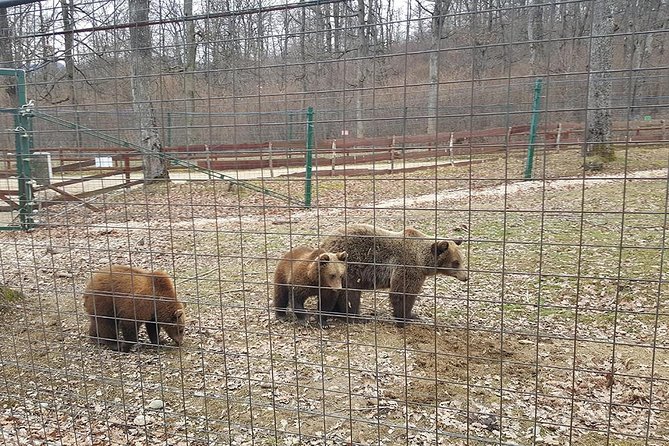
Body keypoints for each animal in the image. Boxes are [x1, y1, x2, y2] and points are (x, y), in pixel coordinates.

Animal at [319, 224, 468, 325]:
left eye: (462, 260)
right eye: (455, 262)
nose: (466, 277)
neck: (422, 261)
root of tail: (325, 242)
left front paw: (412, 315)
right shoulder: (408, 267)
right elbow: (402, 293)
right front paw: (406, 317)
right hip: (349, 268)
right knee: (350, 294)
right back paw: (356, 317)